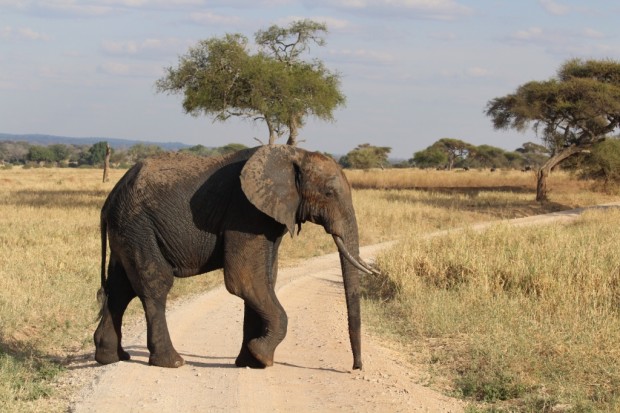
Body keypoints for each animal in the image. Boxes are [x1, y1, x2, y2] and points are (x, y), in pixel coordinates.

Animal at [92, 143, 372, 368]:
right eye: (329, 194)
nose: (356, 367)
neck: (293, 154)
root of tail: (108, 201)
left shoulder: (267, 216)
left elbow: (264, 280)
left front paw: (251, 361)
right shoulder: (245, 212)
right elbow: (244, 280)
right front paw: (261, 356)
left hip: (127, 232)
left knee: (120, 289)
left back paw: (112, 357)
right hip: (138, 226)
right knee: (155, 285)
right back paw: (172, 362)